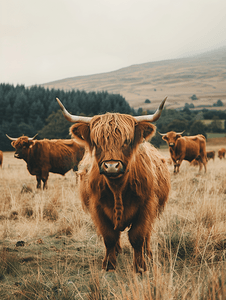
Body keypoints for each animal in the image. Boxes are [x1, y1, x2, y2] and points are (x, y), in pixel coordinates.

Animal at [57, 97, 171, 274]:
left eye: (127, 141)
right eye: (96, 142)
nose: (111, 166)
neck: (117, 188)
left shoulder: (146, 206)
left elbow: (138, 236)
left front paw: (140, 267)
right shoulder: (97, 207)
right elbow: (109, 237)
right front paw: (109, 265)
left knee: (147, 234)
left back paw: (148, 253)